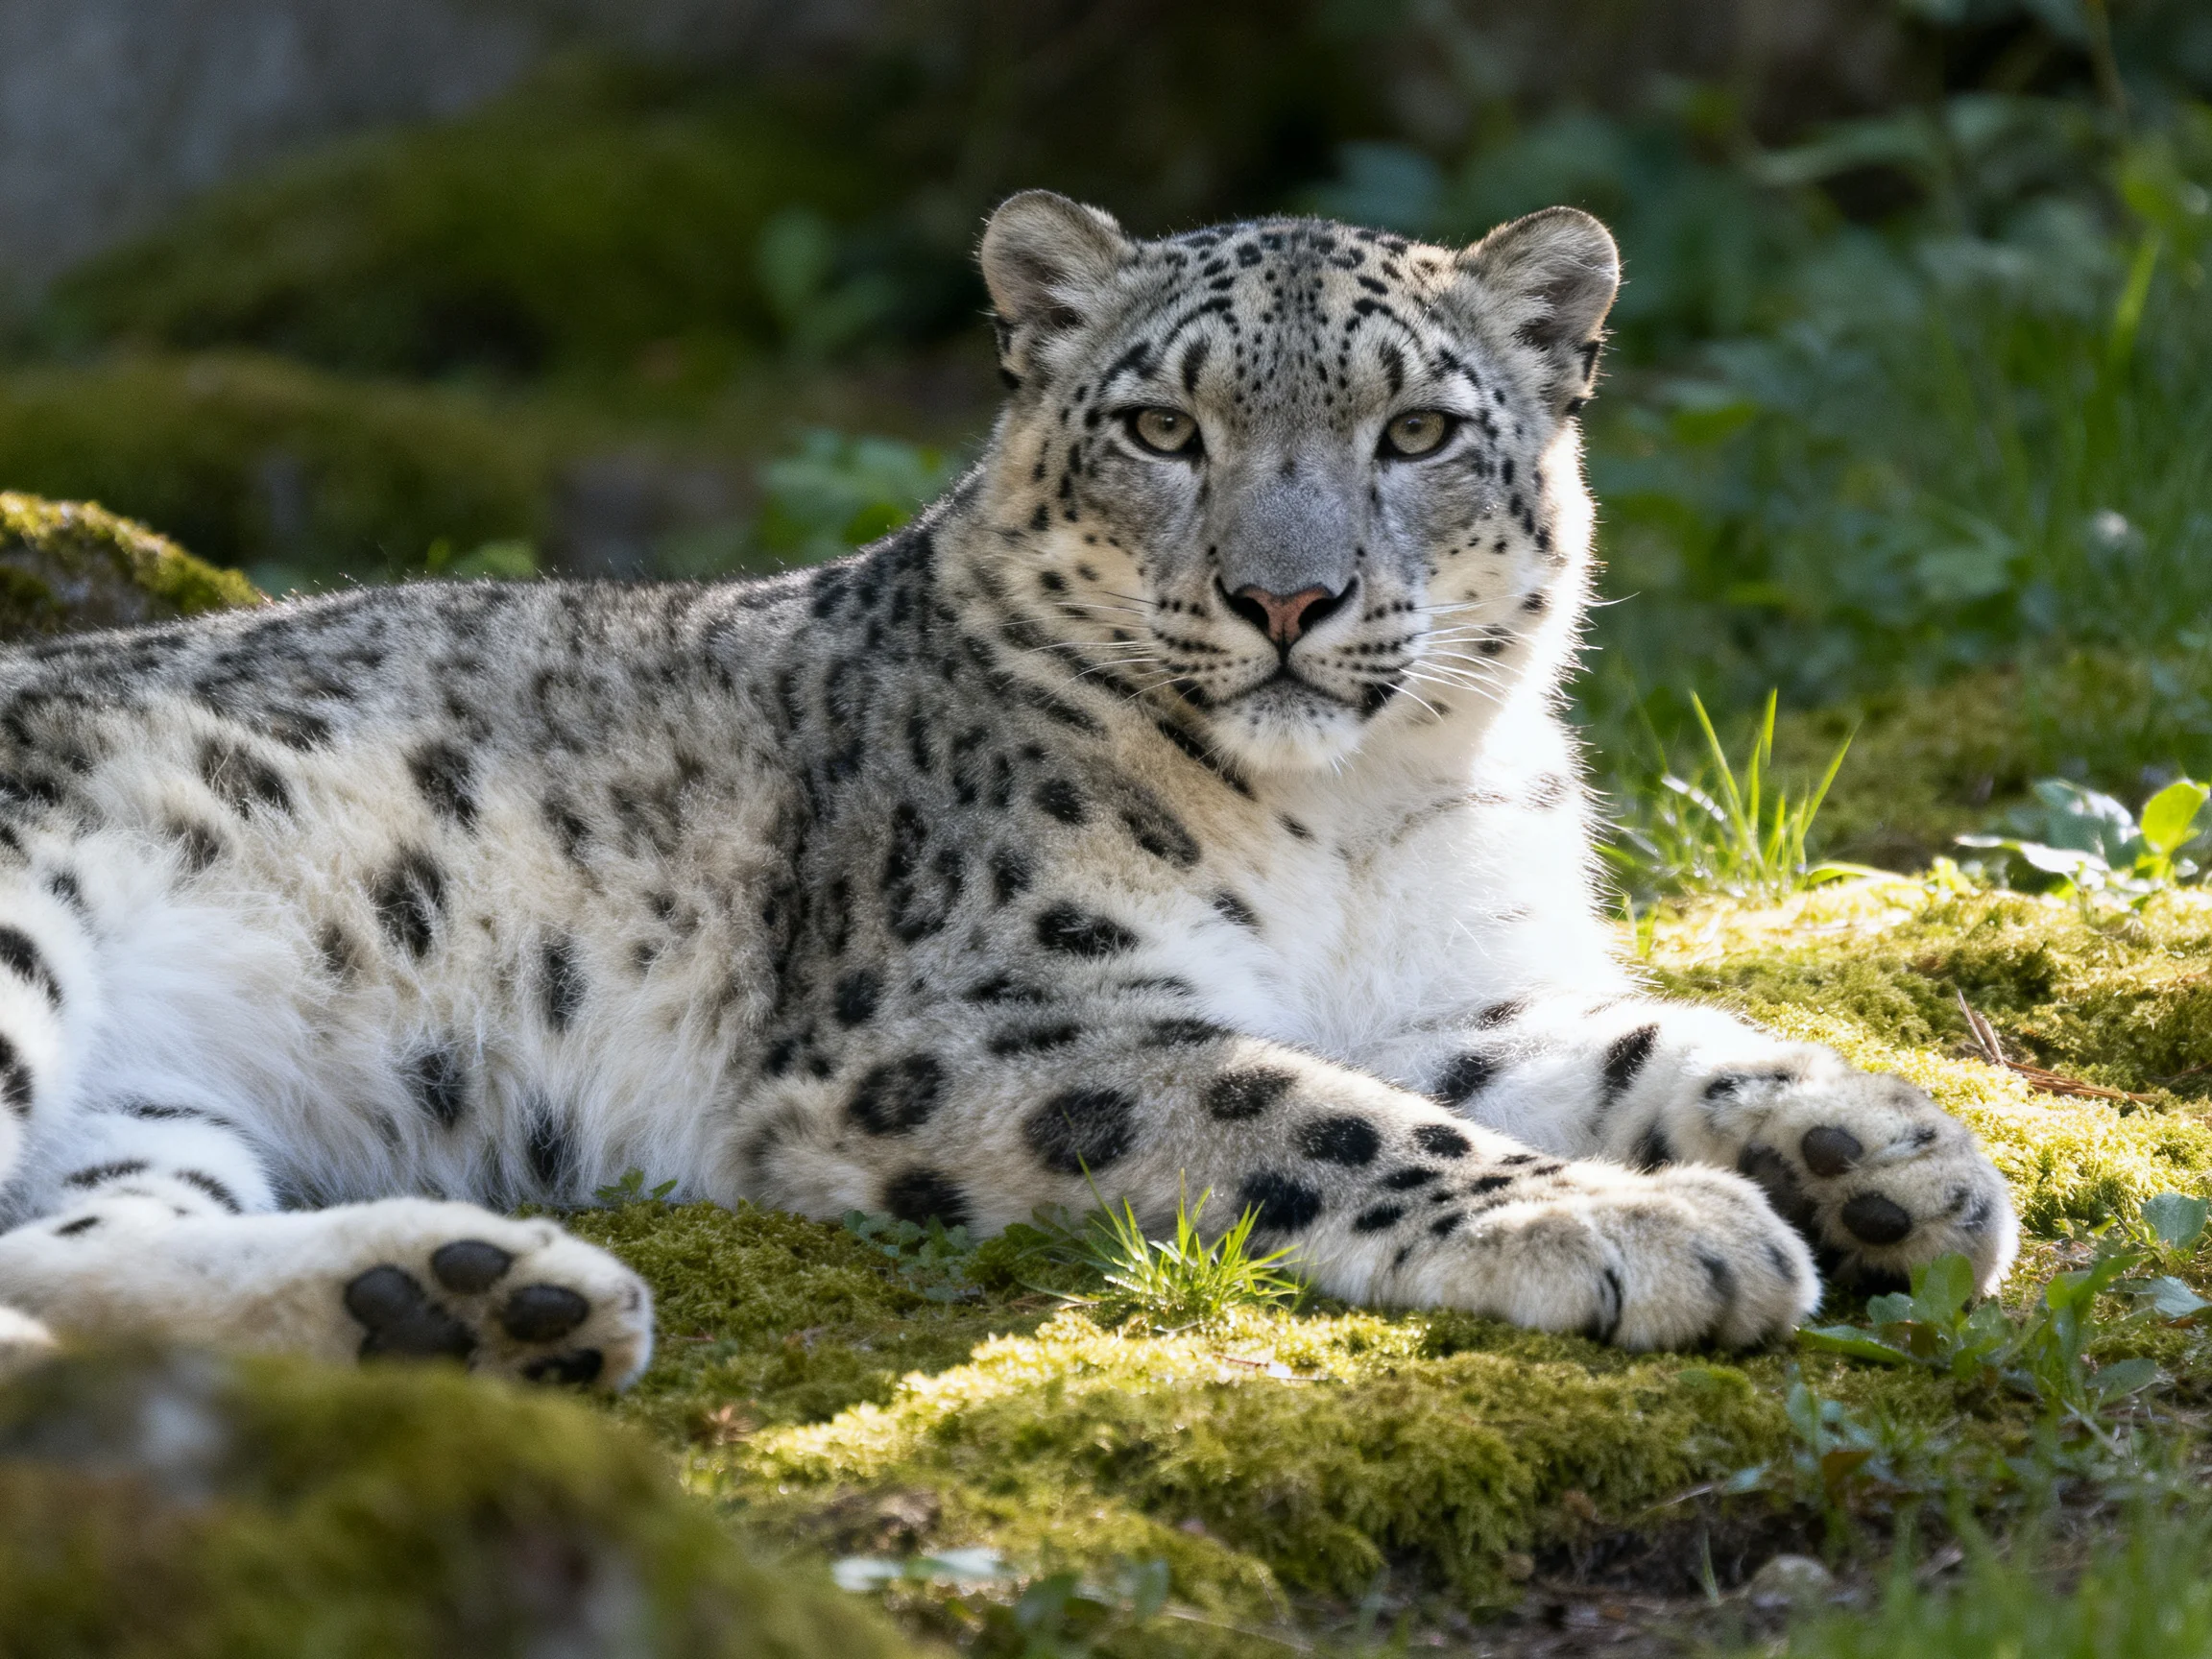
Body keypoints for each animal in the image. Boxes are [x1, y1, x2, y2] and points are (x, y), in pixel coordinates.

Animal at [0, 191, 2017, 1388]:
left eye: (1417, 430)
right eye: (1160, 426)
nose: (1285, 596)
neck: (1355, 822)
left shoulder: (1451, 990)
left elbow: (1630, 1044)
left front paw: (1884, 1159)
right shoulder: (988, 1017)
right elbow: (1321, 1117)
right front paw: (1642, 1224)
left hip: (146, 1118)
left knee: (70, 1252)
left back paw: (463, 1302)